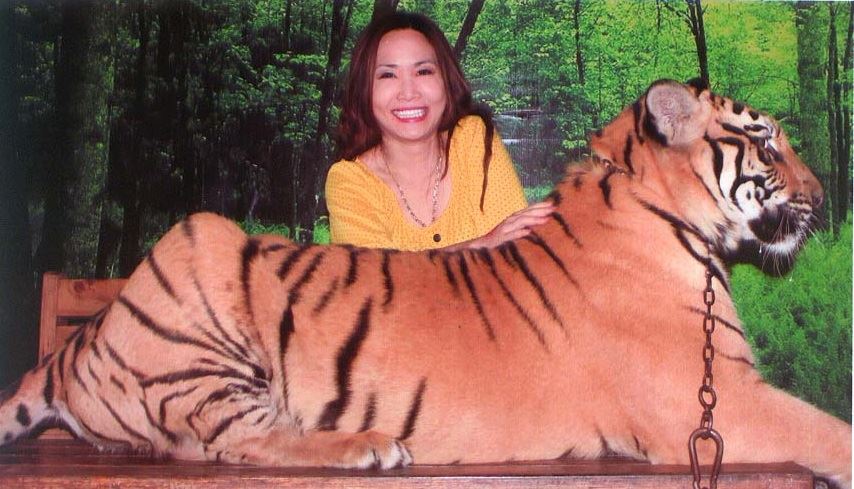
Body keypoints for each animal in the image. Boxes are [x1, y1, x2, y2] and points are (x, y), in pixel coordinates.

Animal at [0, 78, 852, 486]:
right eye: (768, 145)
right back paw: (370, 446)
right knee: (232, 442)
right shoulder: (714, 401)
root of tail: (76, 346)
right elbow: (827, 430)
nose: (823, 198)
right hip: (197, 248)